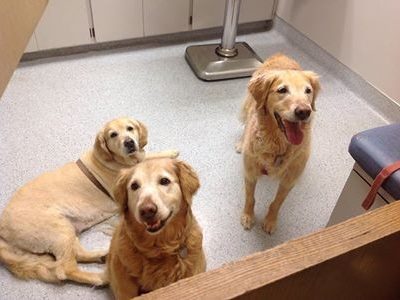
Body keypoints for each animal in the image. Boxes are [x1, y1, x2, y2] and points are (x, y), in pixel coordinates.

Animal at [0, 117, 178, 286]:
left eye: (130, 128)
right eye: (113, 134)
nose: (129, 142)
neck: (113, 160)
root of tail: (2, 228)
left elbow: (148, 157)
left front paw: (170, 153)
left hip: (67, 229)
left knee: (77, 253)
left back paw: (101, 255)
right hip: (58, 230)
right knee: (65, 269)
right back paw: (101, 278)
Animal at [236, 54, 320, 234]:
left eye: (308, 91)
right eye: (282, 90)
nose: (304, 111)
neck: (279, 144)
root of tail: (281, 55)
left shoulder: (289, 180)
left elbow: (277, 203)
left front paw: (270, 221)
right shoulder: (250, 172)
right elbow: (250, 198)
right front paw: (248, 216)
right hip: (249, 104)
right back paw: (240, 143)